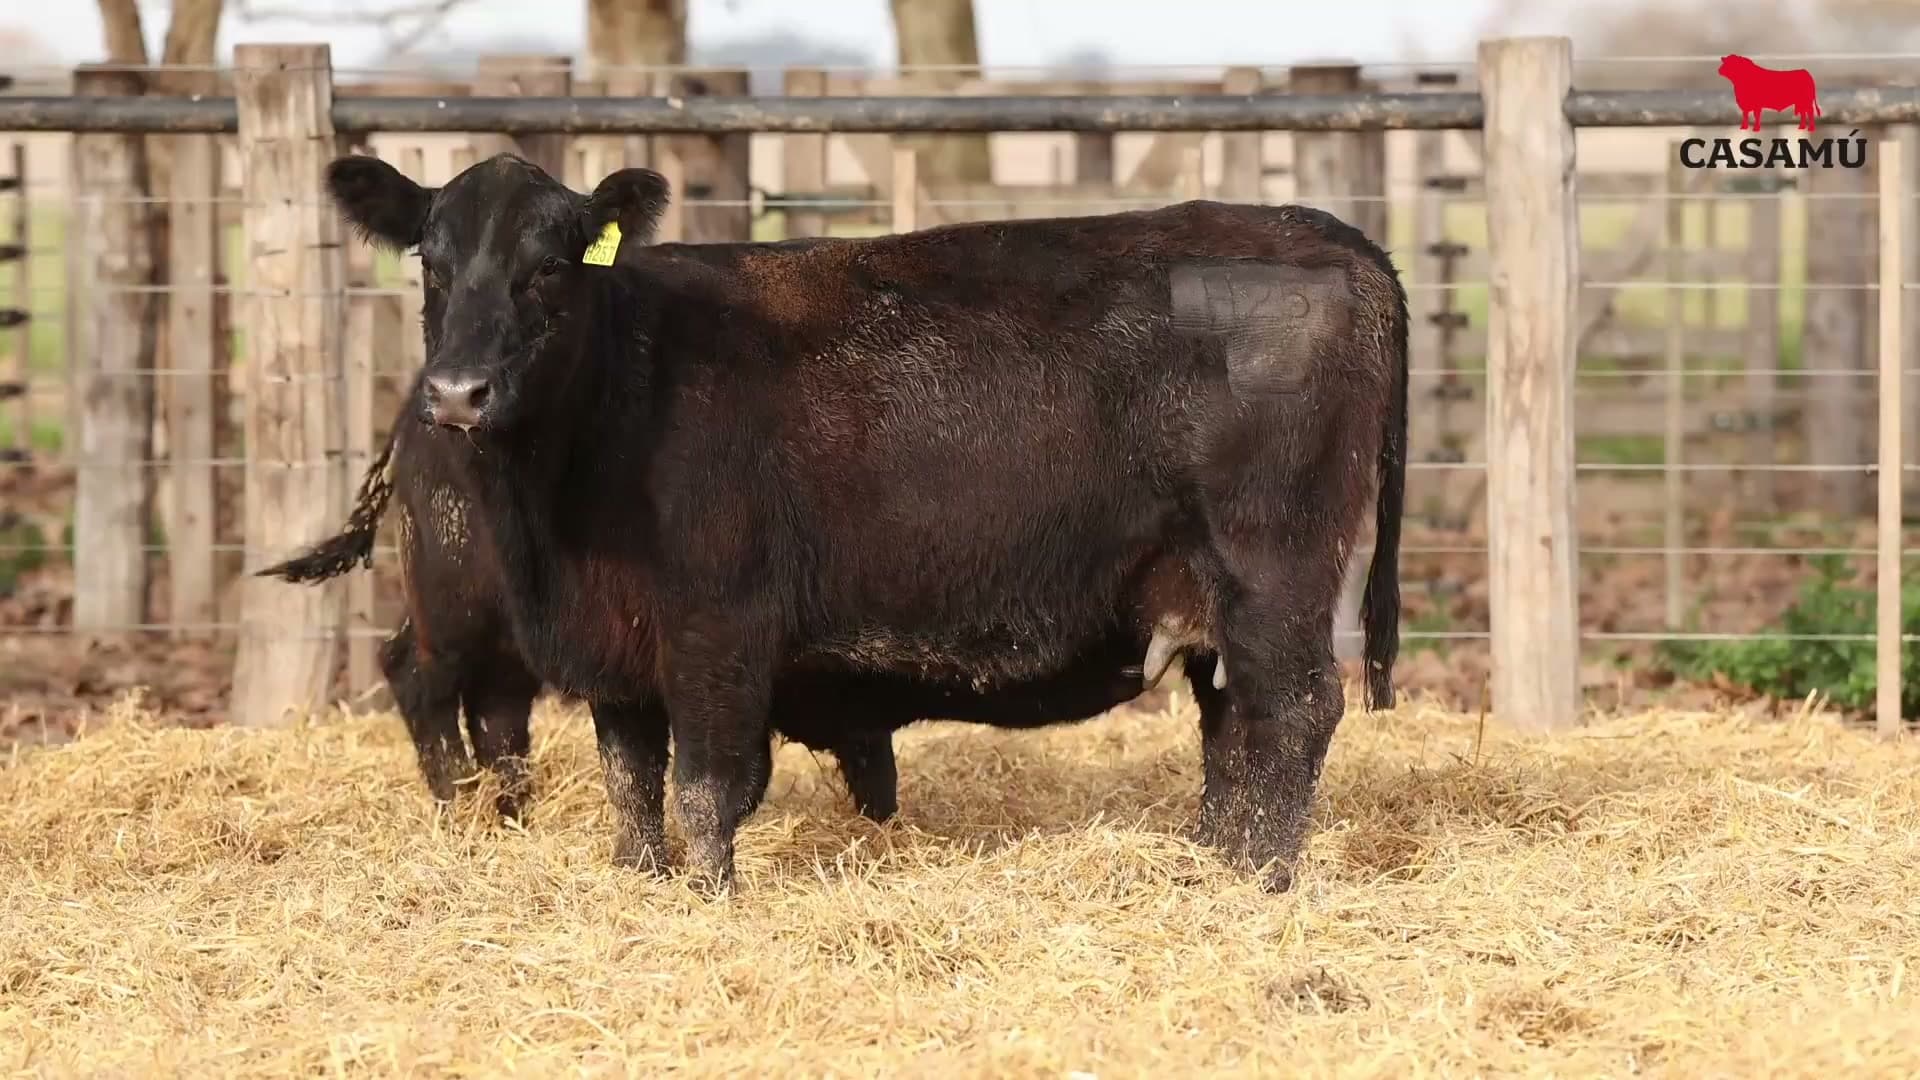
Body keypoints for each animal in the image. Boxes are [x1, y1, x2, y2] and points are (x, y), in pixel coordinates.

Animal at [312, 150, 1408, 895]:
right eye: (431, 262)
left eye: (549, 266)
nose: (457, 392)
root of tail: (1318, 232)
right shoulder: (617, 652)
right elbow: (631, 784)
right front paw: (642, 884)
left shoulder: (717, 634)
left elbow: (704, 788)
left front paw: (709, 900)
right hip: (1209, 594)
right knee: (1231, 726)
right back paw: (1214, 863)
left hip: (1272, 567)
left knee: (1295, 712)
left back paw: (1260, 881)